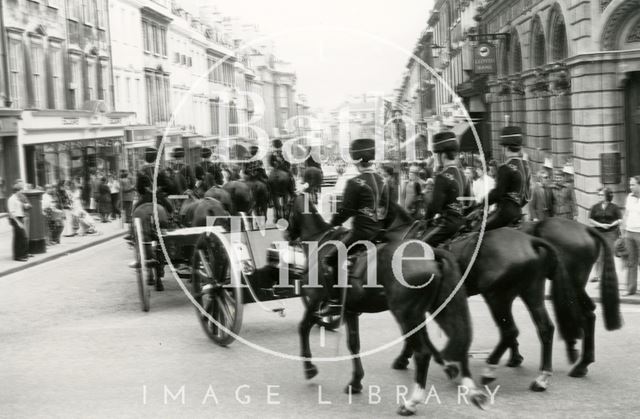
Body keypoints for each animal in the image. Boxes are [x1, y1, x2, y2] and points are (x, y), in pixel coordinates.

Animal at [284, 196, 484, 416]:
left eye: (286, 208)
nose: (286, 234)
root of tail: (433, 253)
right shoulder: (351, 311)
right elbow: (353, 344)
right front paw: (356, 381)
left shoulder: (315, 301)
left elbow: (303, 328)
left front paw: (310, 369)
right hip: (436, 309)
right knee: (455, 339)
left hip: (405, 314)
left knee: (423, 352)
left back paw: (411, 401)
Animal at [392, 226, 584, 394]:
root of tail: (530, 241)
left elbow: (414, 334)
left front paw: (405, 359)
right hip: (530, 293)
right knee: (544, 328)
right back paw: (541, 379)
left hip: (496, 297)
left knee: (510, 331)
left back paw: (490, 370)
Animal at [516, 218, 624, 378]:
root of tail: (586, 229)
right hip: (573, 285)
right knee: (587, 313)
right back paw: (580, 361)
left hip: (571, 283)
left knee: (583, 315)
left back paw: (578, 361)